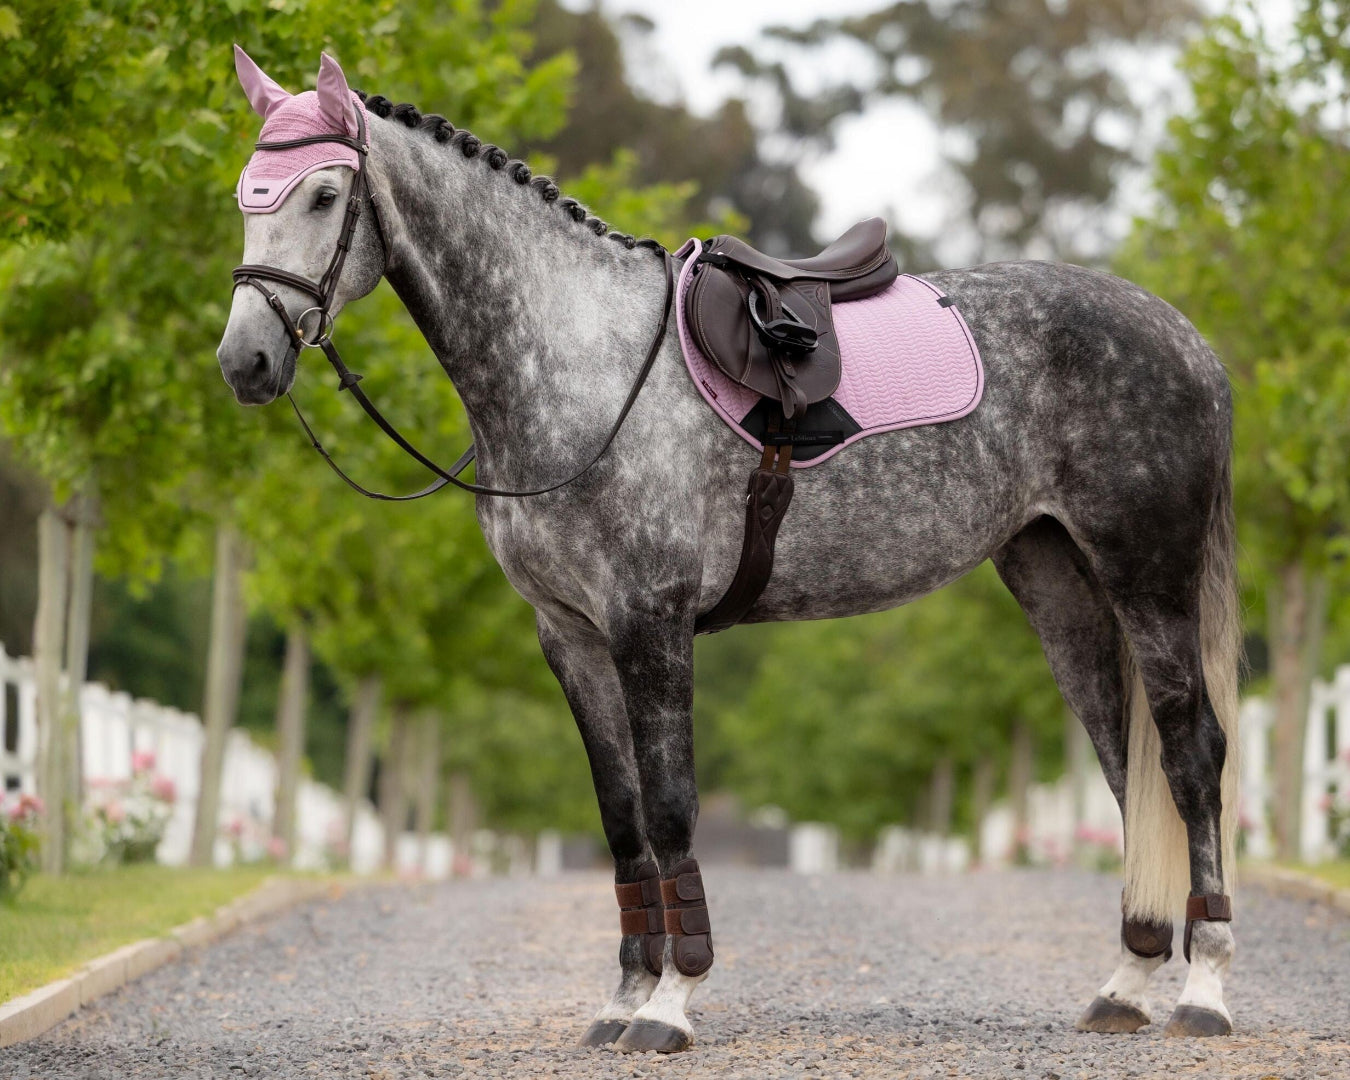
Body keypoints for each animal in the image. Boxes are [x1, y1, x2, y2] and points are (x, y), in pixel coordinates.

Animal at [217, 50, 1241, 1051]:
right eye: (244, 195)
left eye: (322, 194)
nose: (245, 362)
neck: (584, 364)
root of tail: (1186, 336)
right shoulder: (569, 635)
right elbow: (622, 817)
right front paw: (623, 999)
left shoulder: (651, 622)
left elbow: (671, 808)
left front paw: (670, 1004)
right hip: (1053, 575)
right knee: (1124, 763)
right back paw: (1126, 984)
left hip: (1147, 573)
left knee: (1190, 754)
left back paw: (1205, 991)